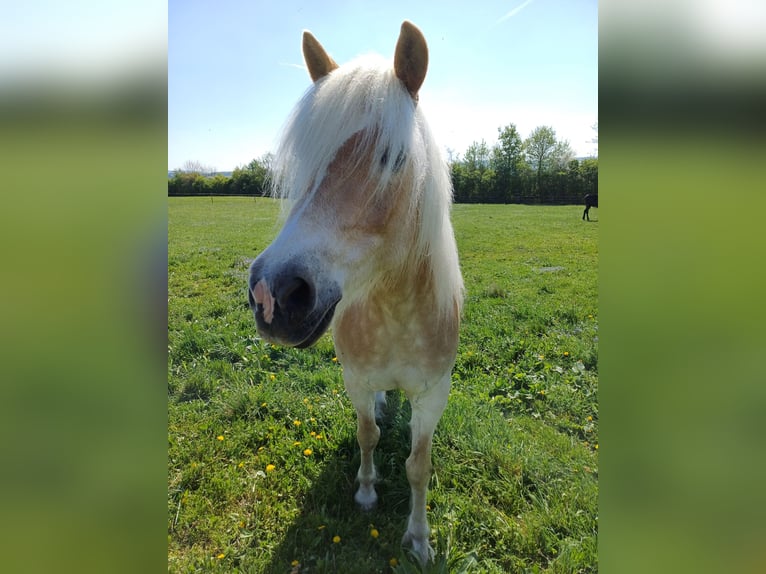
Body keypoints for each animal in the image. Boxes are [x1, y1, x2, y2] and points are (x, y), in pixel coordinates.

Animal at [247, 22, 463, 564]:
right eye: (308, 158)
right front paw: (366, 491)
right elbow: (368, 435)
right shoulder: (356, 381)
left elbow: (418, 465)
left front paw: (419, 538)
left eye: (393, 157)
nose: (272, 293)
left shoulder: (434, 395)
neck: (398, 314)